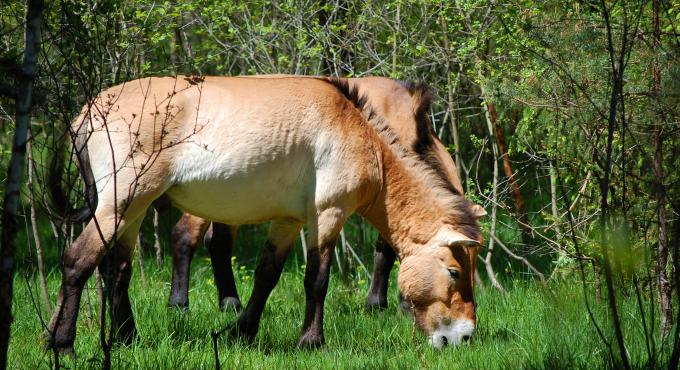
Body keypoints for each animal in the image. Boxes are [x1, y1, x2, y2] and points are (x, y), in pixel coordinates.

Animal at [166, 77, 484, 312]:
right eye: (454, 267)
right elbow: (387, 251)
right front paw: (381, 303)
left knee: (218, 242)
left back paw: (230, 302)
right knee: (185, 235)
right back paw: (179, 303)